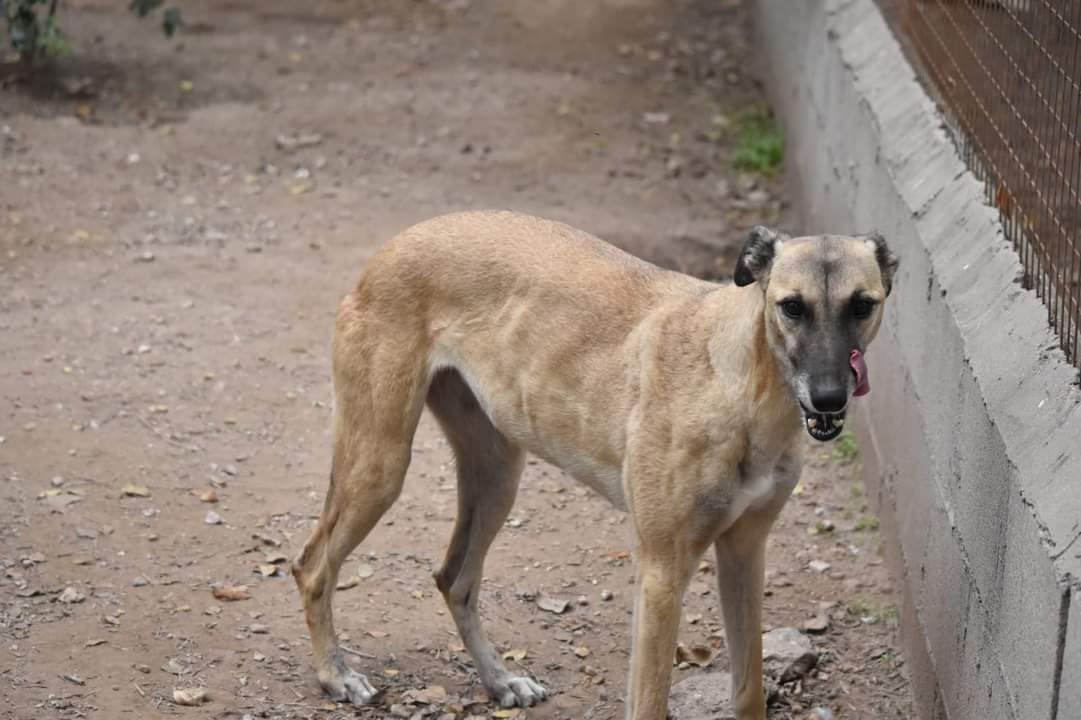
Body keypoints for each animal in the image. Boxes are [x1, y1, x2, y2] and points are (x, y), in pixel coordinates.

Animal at [291, 208, 899, 717]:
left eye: (862, 304)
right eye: (792, 306)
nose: (829, 399)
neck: (744, 387)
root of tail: (397, 242)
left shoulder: (744, 552)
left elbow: (749, 690)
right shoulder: (661, 570)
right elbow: (650, 703)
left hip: (497, 475)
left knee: (454, 580)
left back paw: (499, 681)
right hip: (380, 465)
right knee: (313, 565)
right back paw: (336, 676)